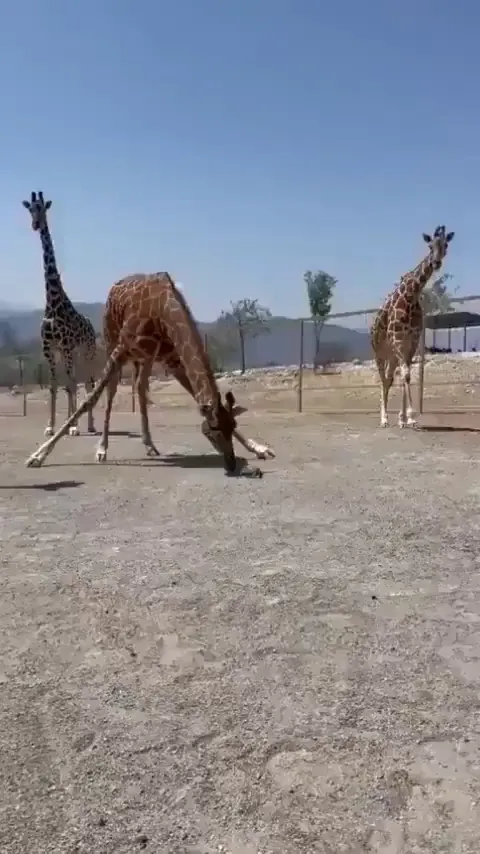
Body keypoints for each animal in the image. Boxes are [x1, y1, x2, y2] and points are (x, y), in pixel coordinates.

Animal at [22, 191, 97, 438]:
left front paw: (73, 426)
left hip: (87, 351)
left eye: (43, 208)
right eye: (30, 209)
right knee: (73, 380)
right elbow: (56, 385)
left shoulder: (65, 345)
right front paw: (52, 426)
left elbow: (72, 385)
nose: (36, 225)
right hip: (71, 352)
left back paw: (89, 424)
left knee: (88, 382)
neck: (53, 302)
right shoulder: (49, 348)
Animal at [25, 273, 275, 475]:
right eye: (213, 431)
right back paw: (103, 448)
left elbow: (195, 395)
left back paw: (149, 444)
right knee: (112, 389)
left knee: (140, 386)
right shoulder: (122, 349)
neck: (163, 310)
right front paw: (39, 455)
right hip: (111, 339)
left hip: (145, 357)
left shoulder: (171, 358)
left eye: (232, 426)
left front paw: (259, 448)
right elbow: (90, 399)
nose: (231, 463)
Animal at [371, 225, 455, 429]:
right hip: (379, 352)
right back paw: (383, 419)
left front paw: (404, 418)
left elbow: (406, 376)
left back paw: (390, 418)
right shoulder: (399, 339)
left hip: (392, 355)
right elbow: (406, 375)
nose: (436, 262)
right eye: (430, 246)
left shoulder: (413, 341)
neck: (411, 296)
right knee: (383, 379)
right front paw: (411, 416)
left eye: (445, 245)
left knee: (390, 378)